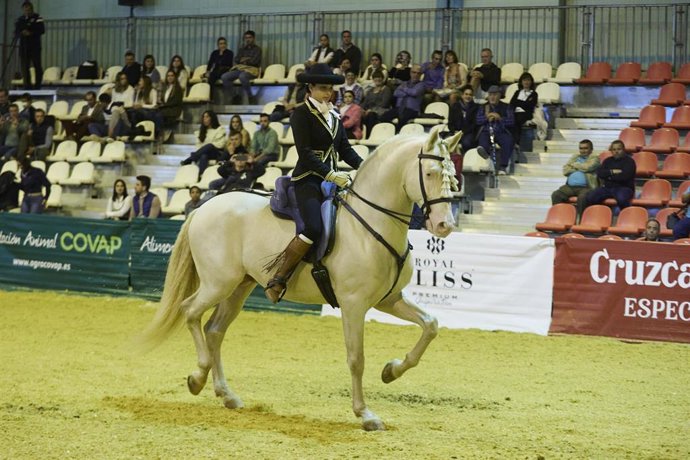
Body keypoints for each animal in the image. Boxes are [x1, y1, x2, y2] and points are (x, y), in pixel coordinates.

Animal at [139, 129, 462, 431]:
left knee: (214, 330)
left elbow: (431, 325)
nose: (444, 225)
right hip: (218, 283)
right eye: (430, 173)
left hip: (238, 287)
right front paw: (366, 415)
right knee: (190, 312)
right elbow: (356, 358)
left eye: (454, 177)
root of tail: (204, 208)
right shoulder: (354, 304)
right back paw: (197, 377)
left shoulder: (389, 299)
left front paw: (391, 371)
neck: (369, 225)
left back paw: (227, 395)